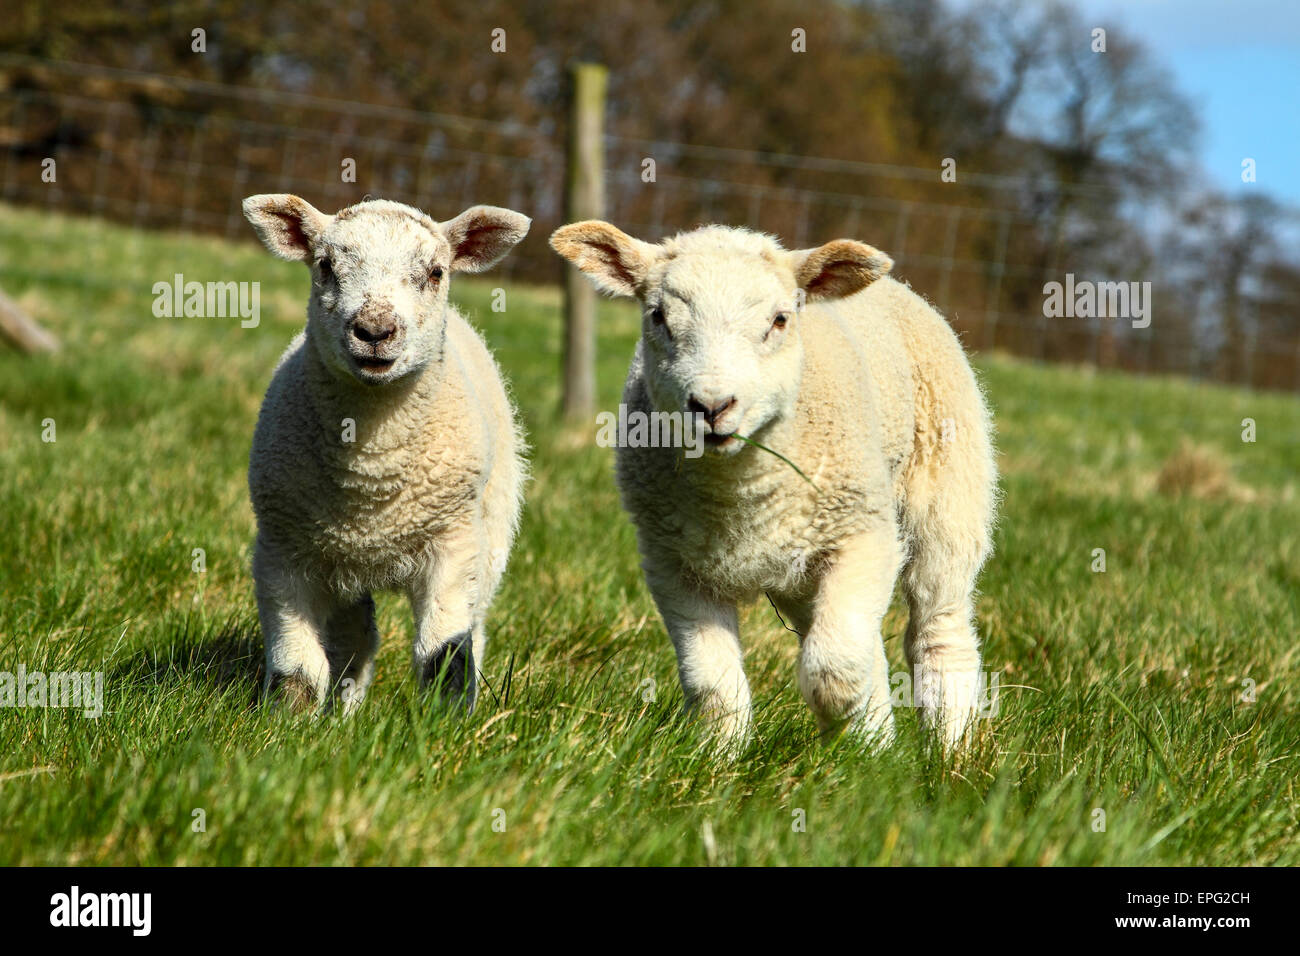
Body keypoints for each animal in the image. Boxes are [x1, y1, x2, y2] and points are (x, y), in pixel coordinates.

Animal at [242, 194, 530, 714]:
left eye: (436, 272)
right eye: (325, 265)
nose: (374, 330)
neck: (372, 476)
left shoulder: (453, 542)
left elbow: (445, 650)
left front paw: (446, 719)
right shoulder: (282, 549)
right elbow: (297, 662)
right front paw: (288, 721)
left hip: (491, 531)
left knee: (475, 625)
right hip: (339, 562)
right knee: (355, 637)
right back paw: (344, 708)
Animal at [550, 221, 997, 752]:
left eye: (780, 320)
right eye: (657, 316)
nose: (712, 406)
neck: (739, 493)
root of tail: (899, 287)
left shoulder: (863, 533)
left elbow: (832, 670)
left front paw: (841, 730)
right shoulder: (672, 563)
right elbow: (714, 684)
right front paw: (722, 757)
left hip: (947, 498)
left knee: (938, 628)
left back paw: (950, 750)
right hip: (801, 563)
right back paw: (876, 747)